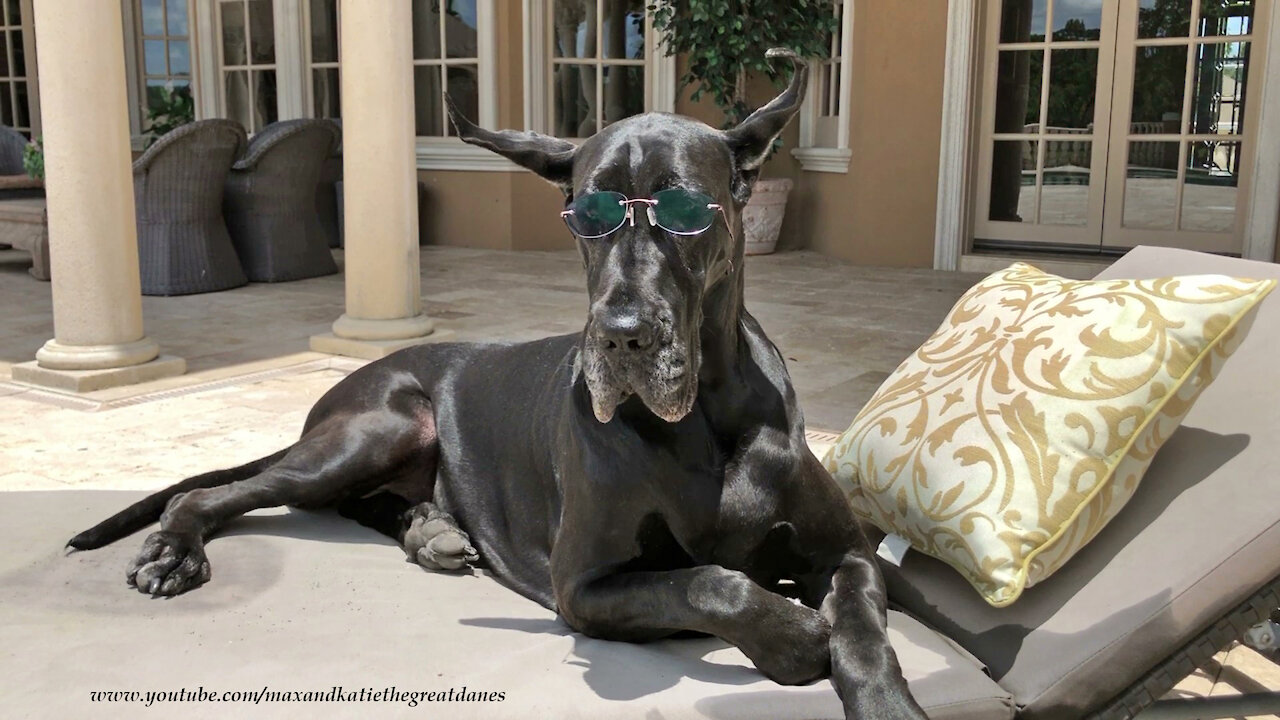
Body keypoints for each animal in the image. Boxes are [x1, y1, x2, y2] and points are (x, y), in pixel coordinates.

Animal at [70, 50, 926, 717]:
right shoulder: (585, 584)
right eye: (584, 212)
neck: (704, 421)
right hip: (380, 426)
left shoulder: (844, 554)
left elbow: (863, 628)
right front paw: (793, 638)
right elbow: (714, 583)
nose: (621, 337)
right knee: (216, 493)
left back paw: (431, 529)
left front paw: (883, 696)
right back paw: (176, 550)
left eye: (686, 208)